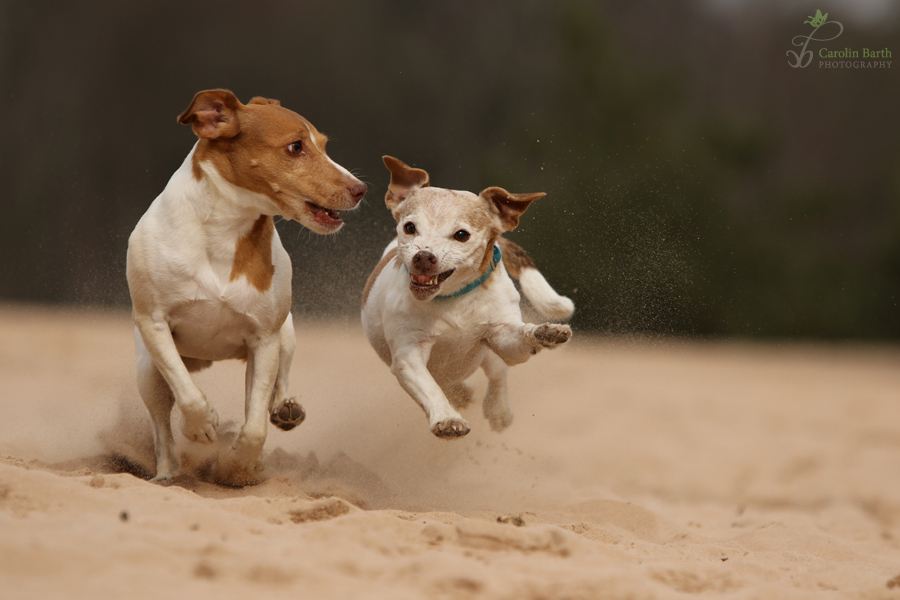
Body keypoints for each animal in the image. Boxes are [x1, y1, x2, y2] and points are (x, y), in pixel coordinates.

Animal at [126, 89, 366, 482]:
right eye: (296, 147)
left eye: (324, 145)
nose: (361, 189)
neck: (225, 229)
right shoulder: (153, 321)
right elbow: (186, 393)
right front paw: (201, 426)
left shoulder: (264, 338)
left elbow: (254, 426)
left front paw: (241, 465)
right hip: (146, 370)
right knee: (162, 425)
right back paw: (166, 472)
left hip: (287, 334)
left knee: (278, 386)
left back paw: (285, 409)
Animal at [362, 155, 572, 436]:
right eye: (409, 227)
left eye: (461, 234)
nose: (423, 256)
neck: (452, 299)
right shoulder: (408, 354)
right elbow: (429, 387)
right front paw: (447, 418)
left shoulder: (501, 334)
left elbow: (518, 343)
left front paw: (544, 332)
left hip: (490, 356)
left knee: (497, 374)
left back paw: (498, 410)